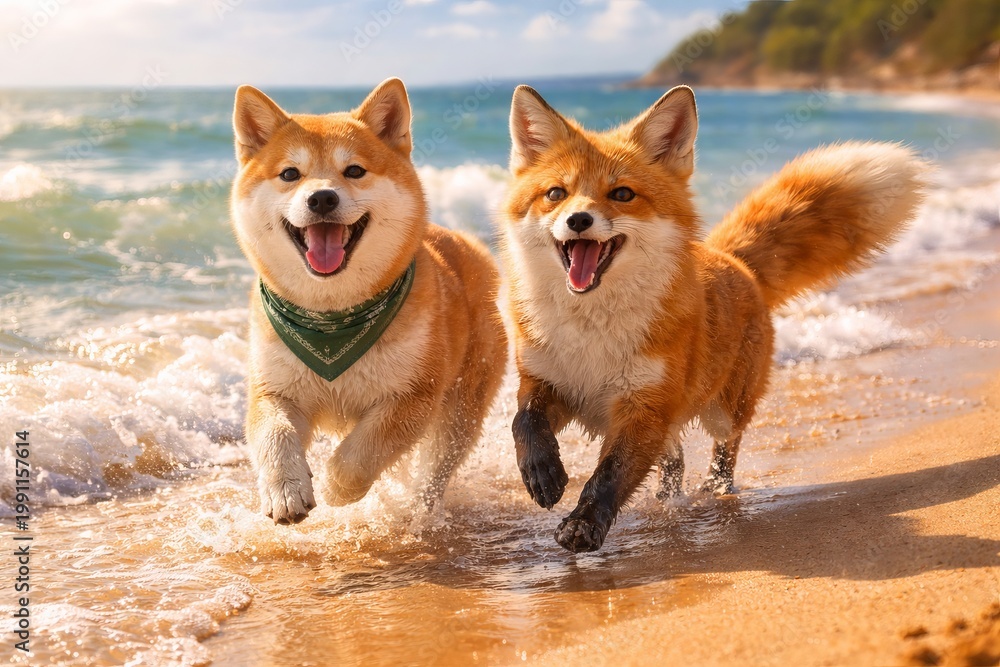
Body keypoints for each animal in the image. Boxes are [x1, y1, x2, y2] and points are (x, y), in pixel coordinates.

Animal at [230, 78, 507, 525]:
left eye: (354, 171)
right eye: (290, 174)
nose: (322, 198)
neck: (332, 322)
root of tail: (466, 244)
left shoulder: (413, 394)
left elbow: (361, 456)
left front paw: (335, 486)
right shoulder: (274, 389)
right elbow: (275, 436)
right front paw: (285, 491)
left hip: (460, 409)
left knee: (437, 467)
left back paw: (419, 511)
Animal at [500, 84, 925, 553]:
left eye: (623, 194)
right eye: (556, 194)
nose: (578, 219)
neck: (591, 332)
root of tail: (729, 257)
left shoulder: (644, 407)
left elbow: (609, 475)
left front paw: (584, 524)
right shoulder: (546, 381)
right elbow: (525, 423)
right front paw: (543, 473)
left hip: (726, 409)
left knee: (724, 449)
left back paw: (716, 491)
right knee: (675, 459)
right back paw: (670, 500)